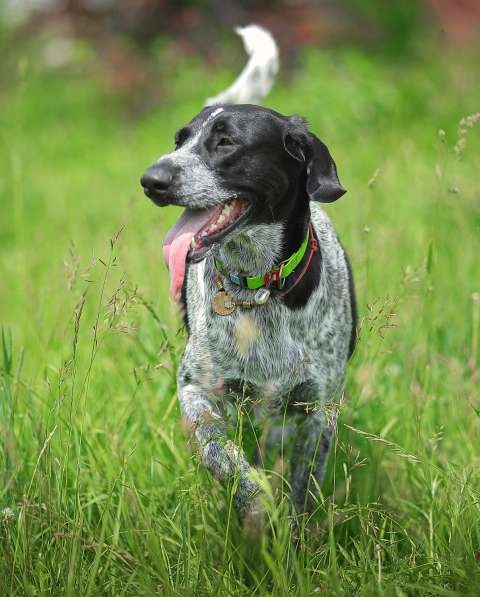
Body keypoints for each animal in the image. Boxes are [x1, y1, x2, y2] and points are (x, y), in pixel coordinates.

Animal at [140, 25, 356, 516]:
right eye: (179, 141)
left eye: (226, 142)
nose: (151, 179)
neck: (258, 288)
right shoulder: (197, 392)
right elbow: (231, 464)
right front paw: (259, 512)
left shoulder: (318, 408)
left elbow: (302, 488)